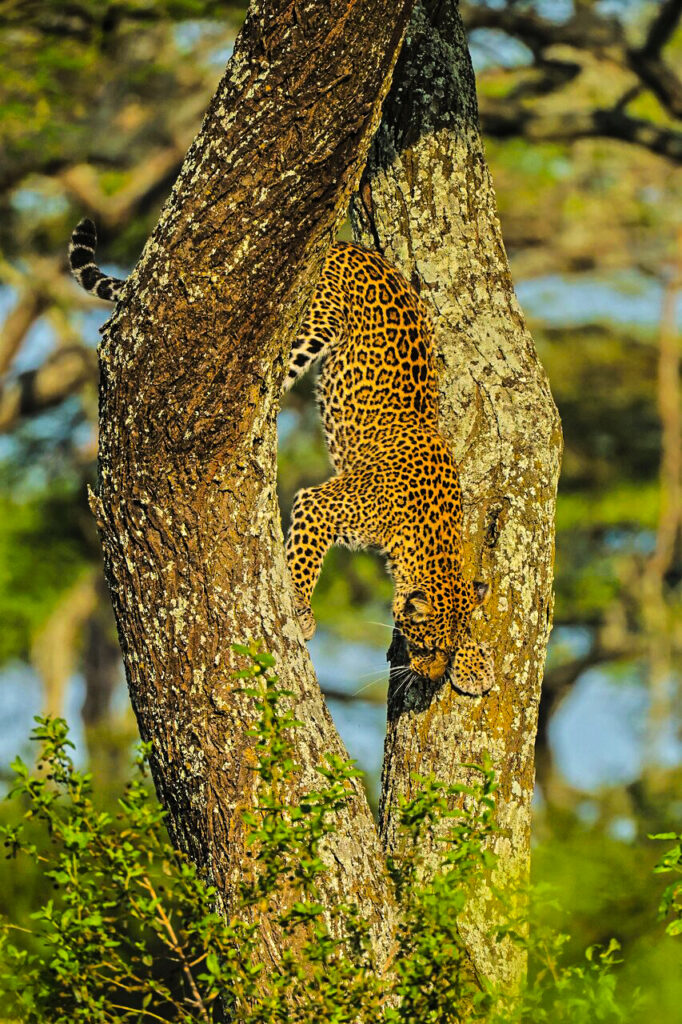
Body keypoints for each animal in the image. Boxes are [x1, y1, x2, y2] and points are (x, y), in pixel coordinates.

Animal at [69, 216, 491, 696]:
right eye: (426, 646)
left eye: (446, 650)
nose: (430, 676)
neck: (426, 533)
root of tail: (342, 244)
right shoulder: (321, 504)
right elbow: (304, 559)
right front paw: (300, 608)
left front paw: (474, 663)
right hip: (309, 325)